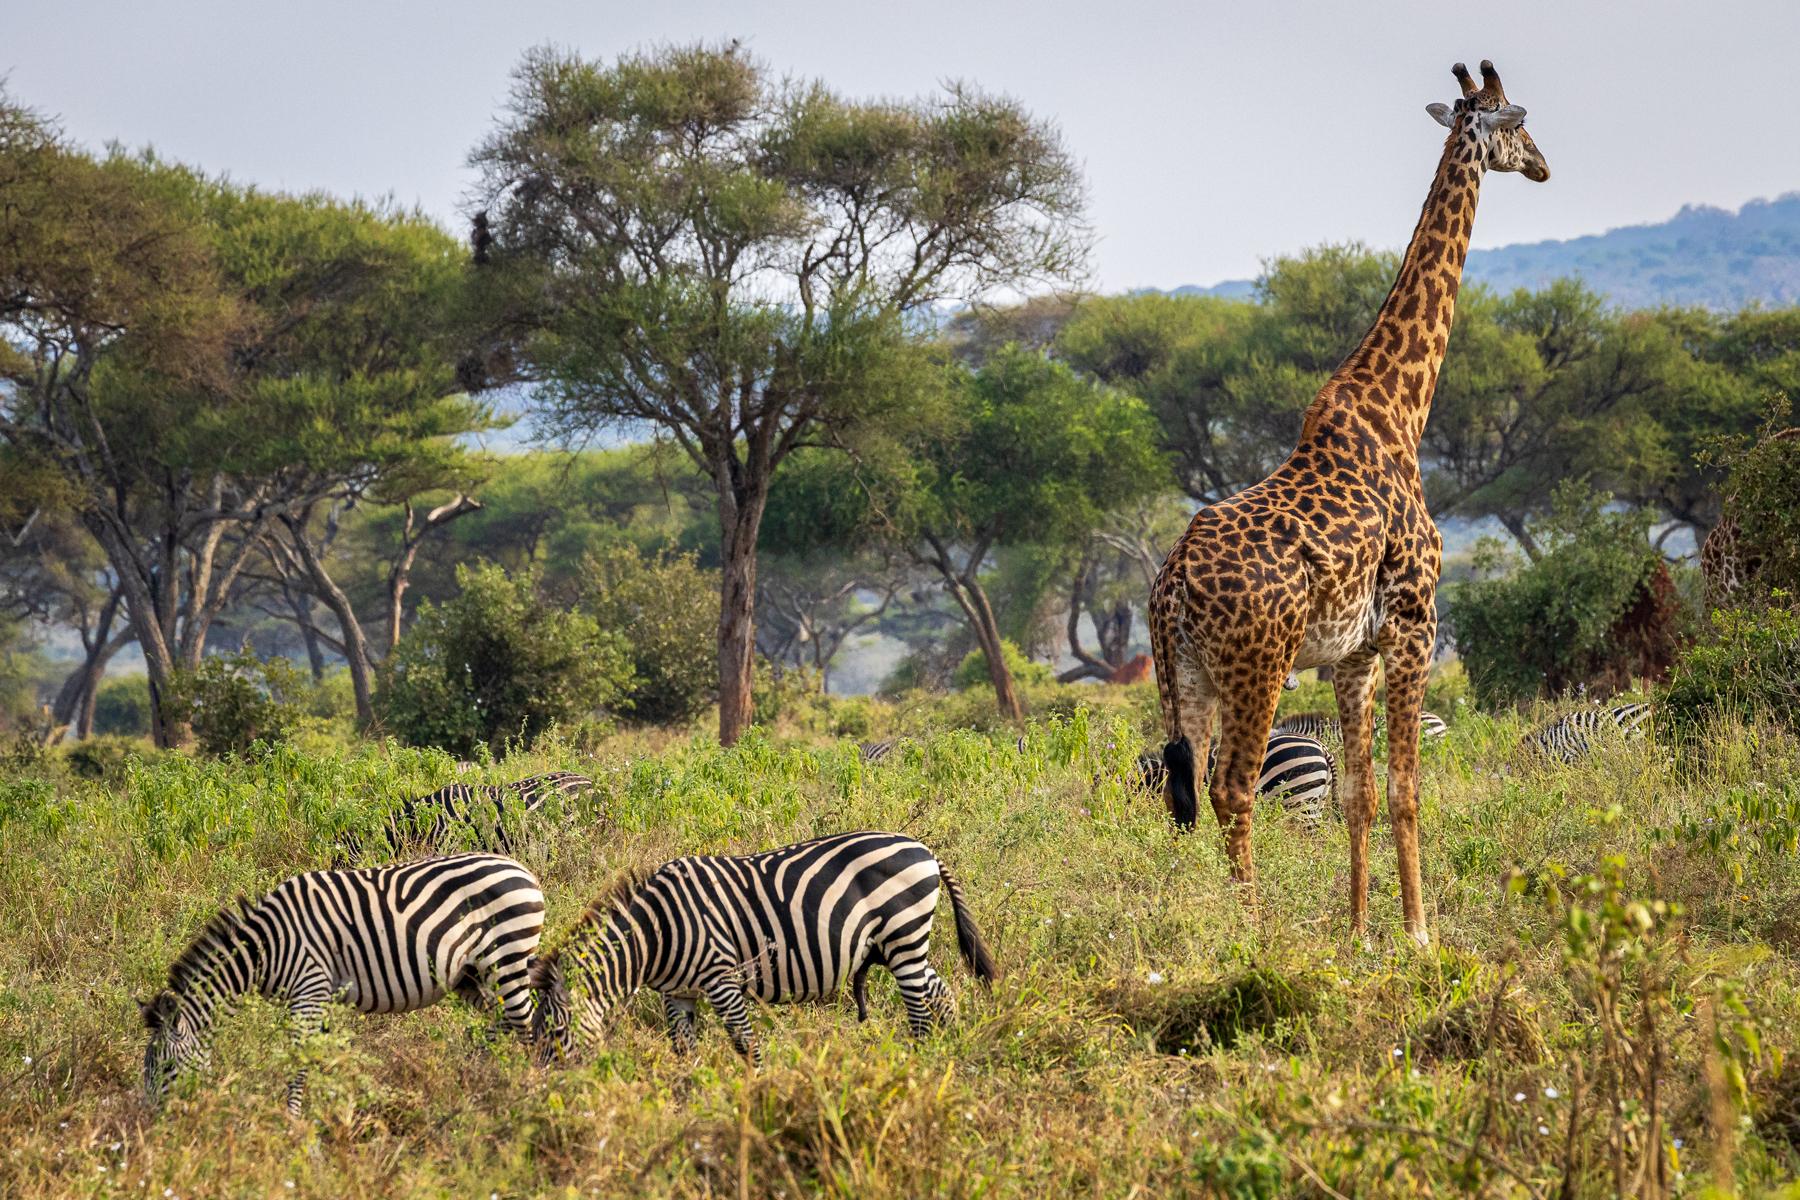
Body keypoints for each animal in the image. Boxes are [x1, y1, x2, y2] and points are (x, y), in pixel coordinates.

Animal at [140, 853, 544, 1115]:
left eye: (164, 1068)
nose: (149, 1122)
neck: (265, 948)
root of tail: (524, 871)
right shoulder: (321, 999)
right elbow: (325, 1055)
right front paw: (335, 1102)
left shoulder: (309, 989)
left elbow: (300, 1059)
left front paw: (292, 1121)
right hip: (472, 973)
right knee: (506, 1021)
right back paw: (480, 1071)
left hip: (506, 954)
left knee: (524, 1022)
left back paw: (523, 1088)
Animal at [529, 831, 997, 1065]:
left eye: (554, 1031)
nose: (551, 1096)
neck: (656, 934)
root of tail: (925, 849)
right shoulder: (677, 994)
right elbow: (684, 1051)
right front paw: (690, 1101)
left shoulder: (721, 978)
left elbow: (744, 1042)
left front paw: (752, 1095)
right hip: (897, 945)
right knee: (940, 992)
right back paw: (950, 1053)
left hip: (903, 935)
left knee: (919, 1010)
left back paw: (919, 1064)